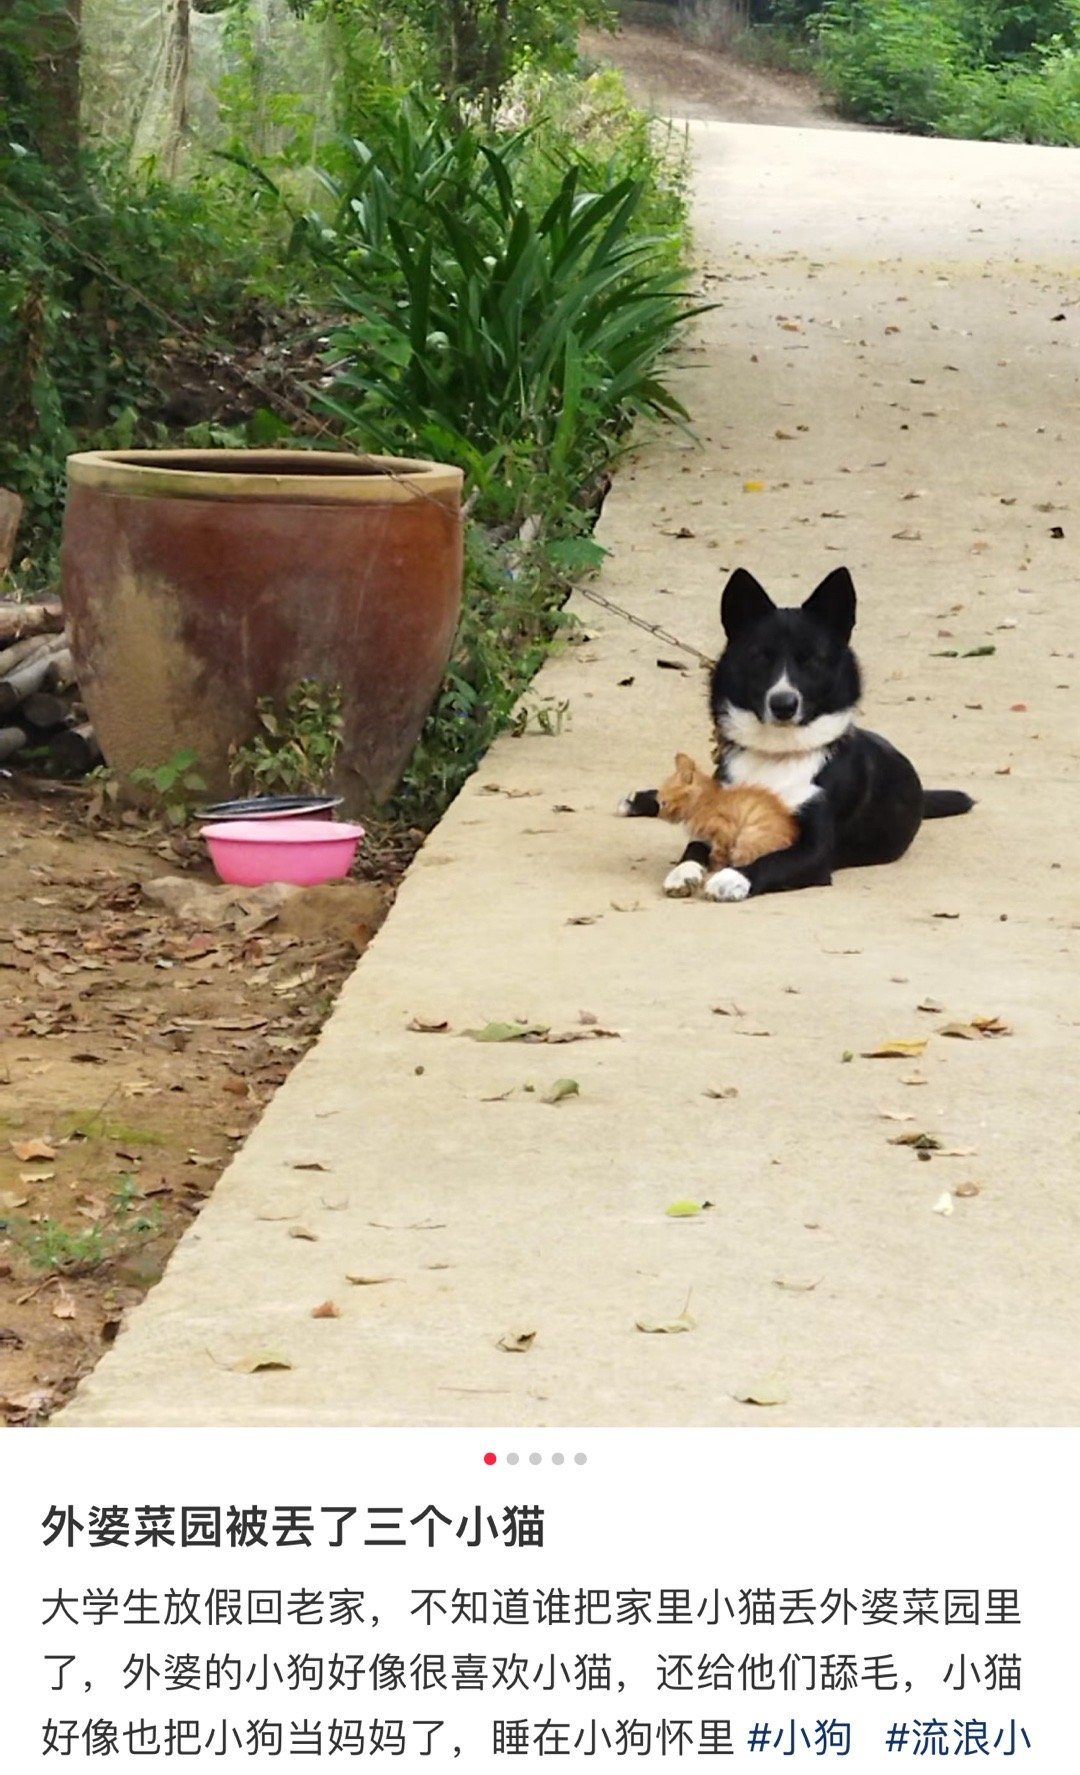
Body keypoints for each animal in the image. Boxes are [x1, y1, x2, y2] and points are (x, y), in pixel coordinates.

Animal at [621, 568, 973, 901]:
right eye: (760, 656)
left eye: (812, 660)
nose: (783, 704)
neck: (777, 755)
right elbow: (693, 846)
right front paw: (683, 871)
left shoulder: (813, 851)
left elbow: (771, 860)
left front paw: (731, 878)